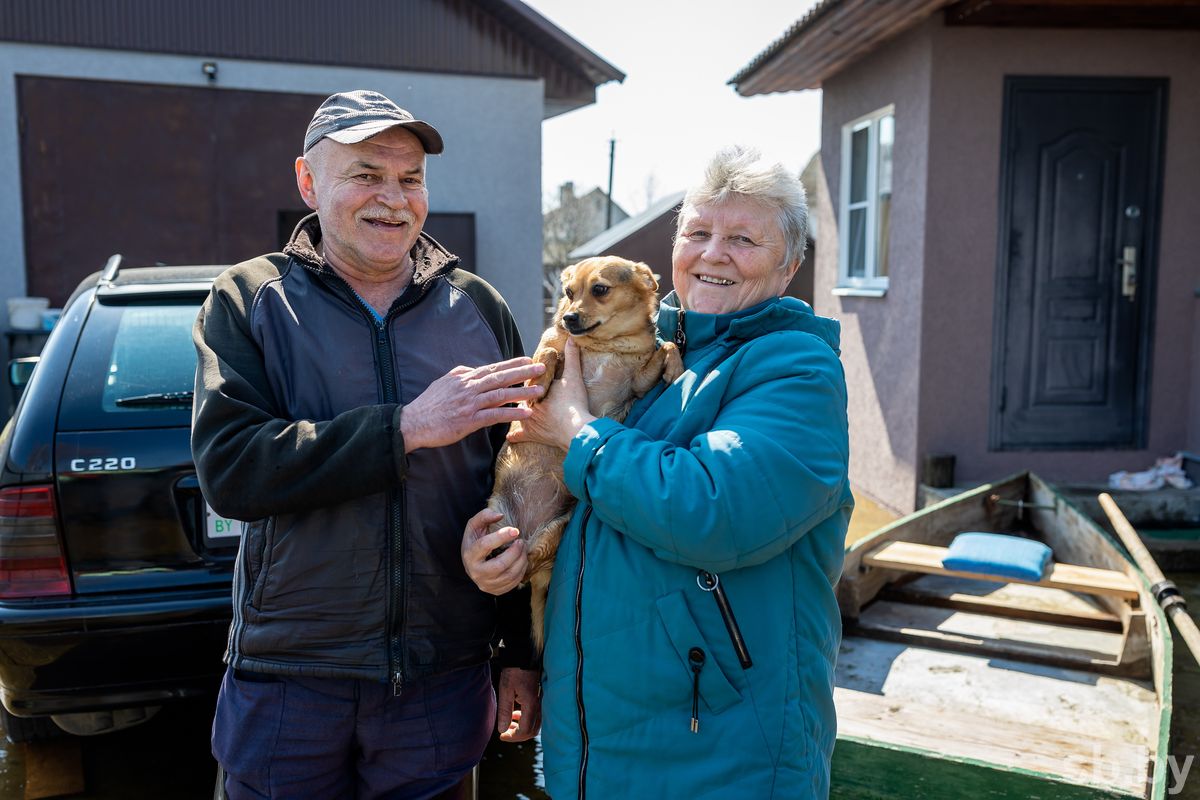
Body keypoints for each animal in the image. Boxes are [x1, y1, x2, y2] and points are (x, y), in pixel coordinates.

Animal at [484, 256, 676, 652]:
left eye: (600, 290)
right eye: (569, 292)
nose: (570, 317)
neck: (604, 344)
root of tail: (524, 535)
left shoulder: (639, 382)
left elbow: (664, 348)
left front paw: (677, 365)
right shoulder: (549, 349)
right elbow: (549, 353)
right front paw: (539, 383)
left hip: (551, 535)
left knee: (524, 568)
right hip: (494, 520)